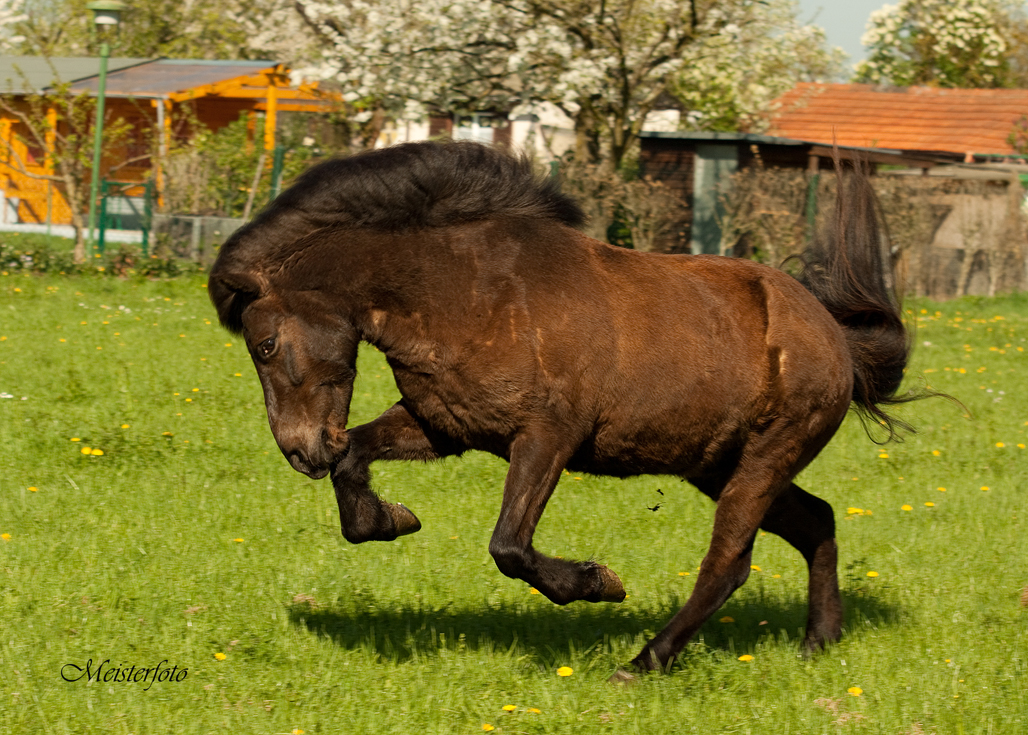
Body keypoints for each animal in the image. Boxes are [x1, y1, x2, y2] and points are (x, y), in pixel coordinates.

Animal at [206, 140, 908, 682]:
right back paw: (818, 643)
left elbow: (509, 546)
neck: (461, 289)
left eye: (264, 346)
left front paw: (599, 582)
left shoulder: (547, 438)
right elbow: (356, 457)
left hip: (763, 459)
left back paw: (644, 662)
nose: (300, 451)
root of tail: (834, 336)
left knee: (729, 564)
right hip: (716, 464)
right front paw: (389, 519)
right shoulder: (445, 426)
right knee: (816, 521)